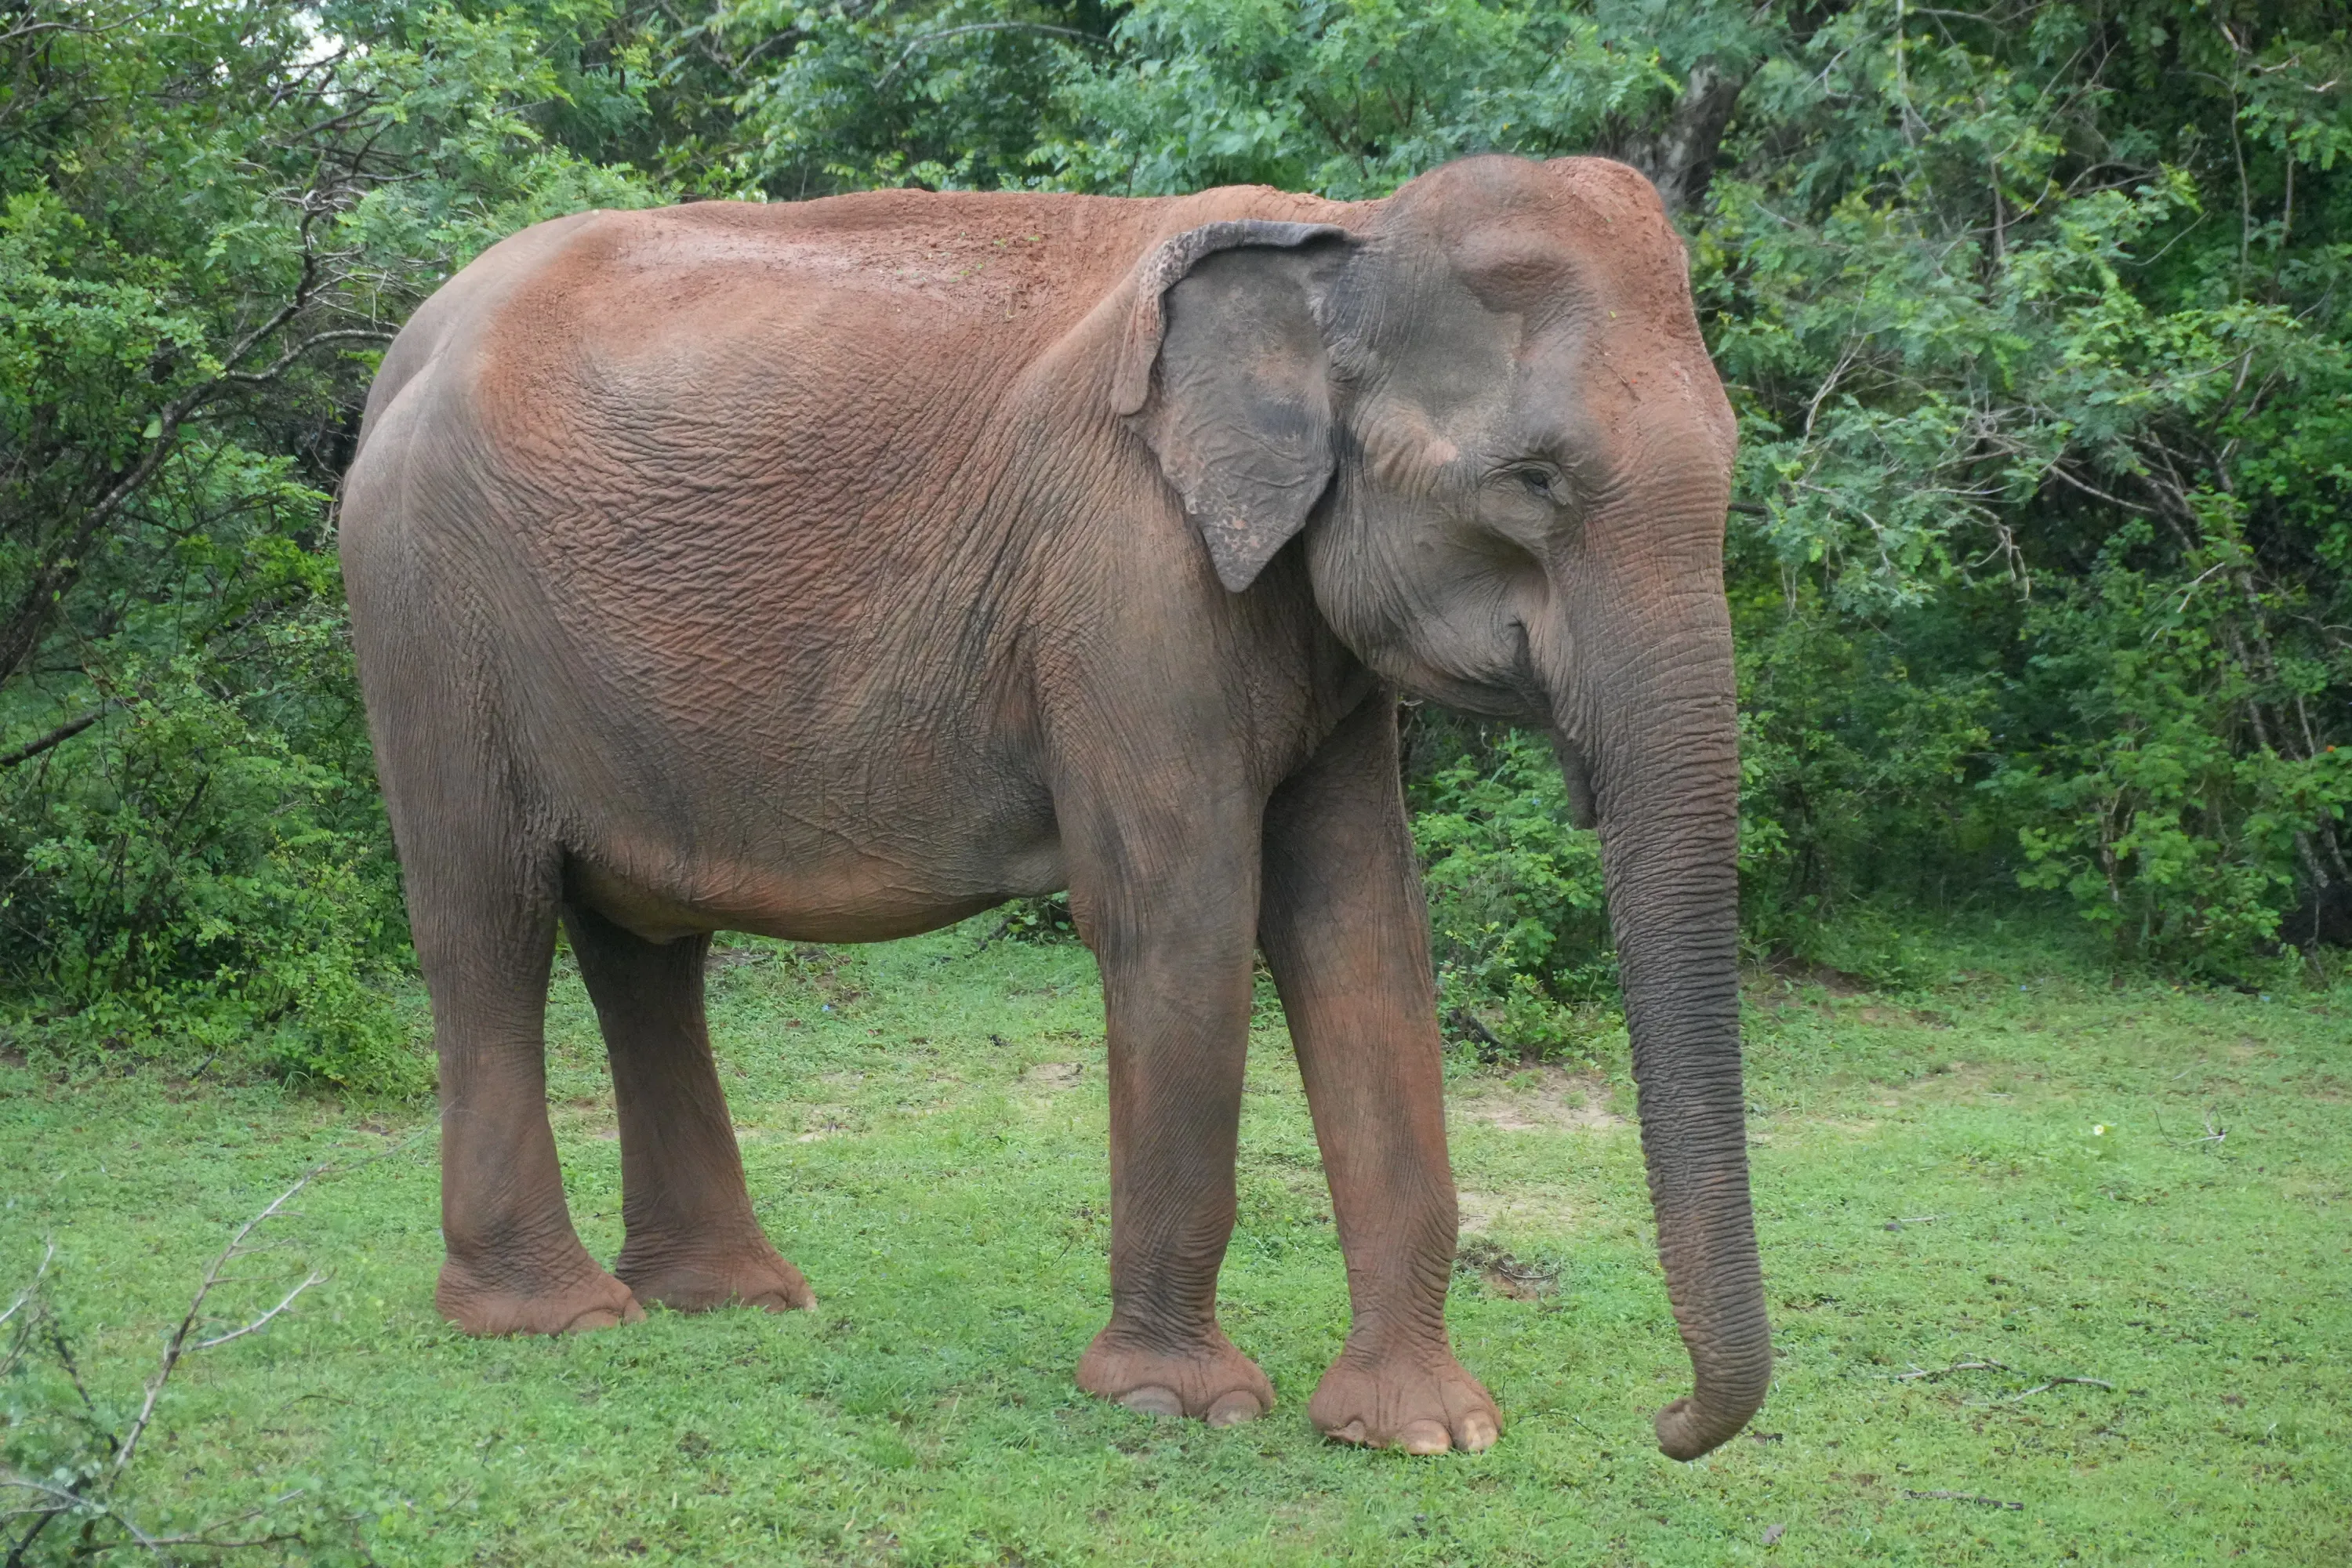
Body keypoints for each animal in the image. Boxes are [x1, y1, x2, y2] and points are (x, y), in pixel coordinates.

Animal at [340, 153, 1765, 1460]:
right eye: (1536, 481)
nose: (1666, 1423)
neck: (1341, 234)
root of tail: (407, 345)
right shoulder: (1124, 571)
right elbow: (1179, 918)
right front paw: (1179, 1404)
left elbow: (1360, 928)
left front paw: (1425, 1433)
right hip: (430, 614)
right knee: (489, 917)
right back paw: (556, 1318)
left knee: (645, 949)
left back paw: (729, 1302)